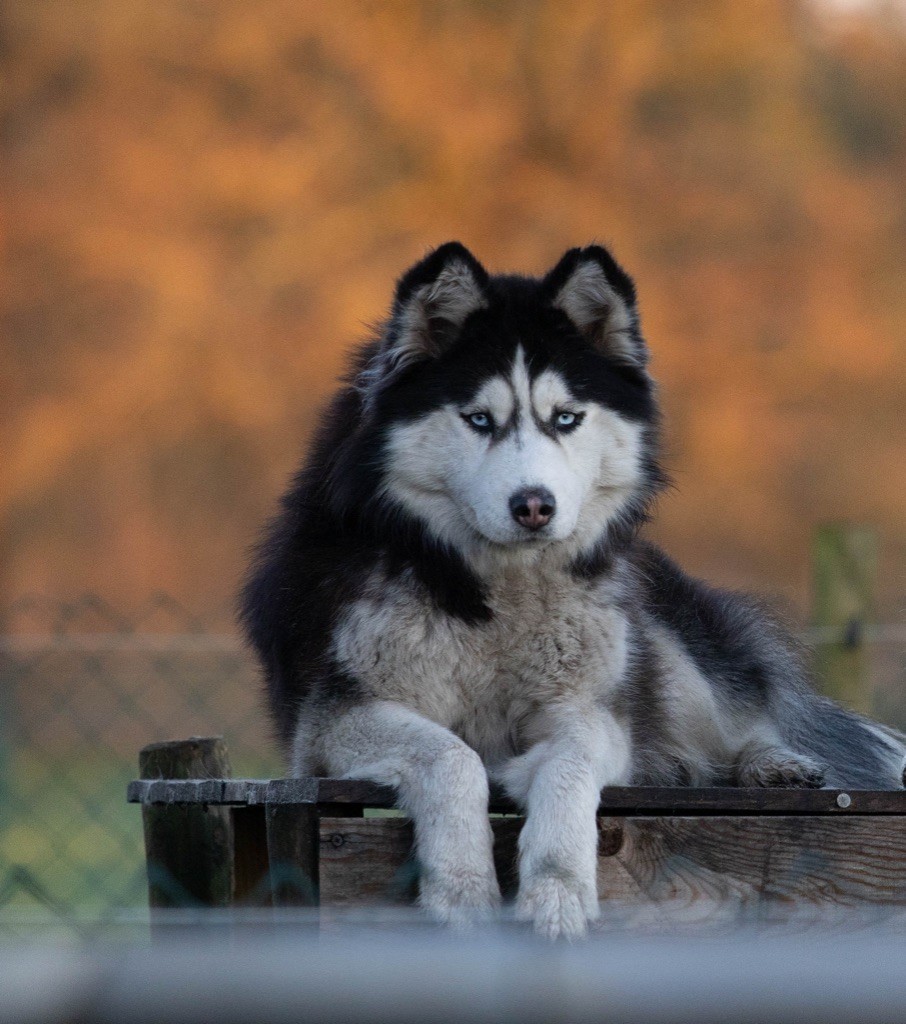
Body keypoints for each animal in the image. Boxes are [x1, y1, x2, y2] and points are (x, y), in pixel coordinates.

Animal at [240, 239, 904, 937]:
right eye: (479, 419)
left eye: (566, 418)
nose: (535, 505)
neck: (499, 599)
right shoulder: (332, 722)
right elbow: (453, 757)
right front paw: (463, 888)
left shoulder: (592, 711)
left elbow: (570, 767)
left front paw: (557, 892)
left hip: (658, 647)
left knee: (736, 718)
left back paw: (771, 765)